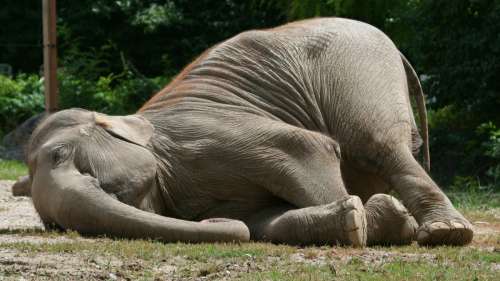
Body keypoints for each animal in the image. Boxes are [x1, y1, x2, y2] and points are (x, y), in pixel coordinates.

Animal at [12, 17, 472, 245]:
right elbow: (261, 221)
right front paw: (358, 219)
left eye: (61, 155)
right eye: (52, 226)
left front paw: (380, 222)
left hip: (358, 72)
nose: (212, 220)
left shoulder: (210, 135)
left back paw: (446, 234)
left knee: (379, 145)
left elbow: (305, 149)